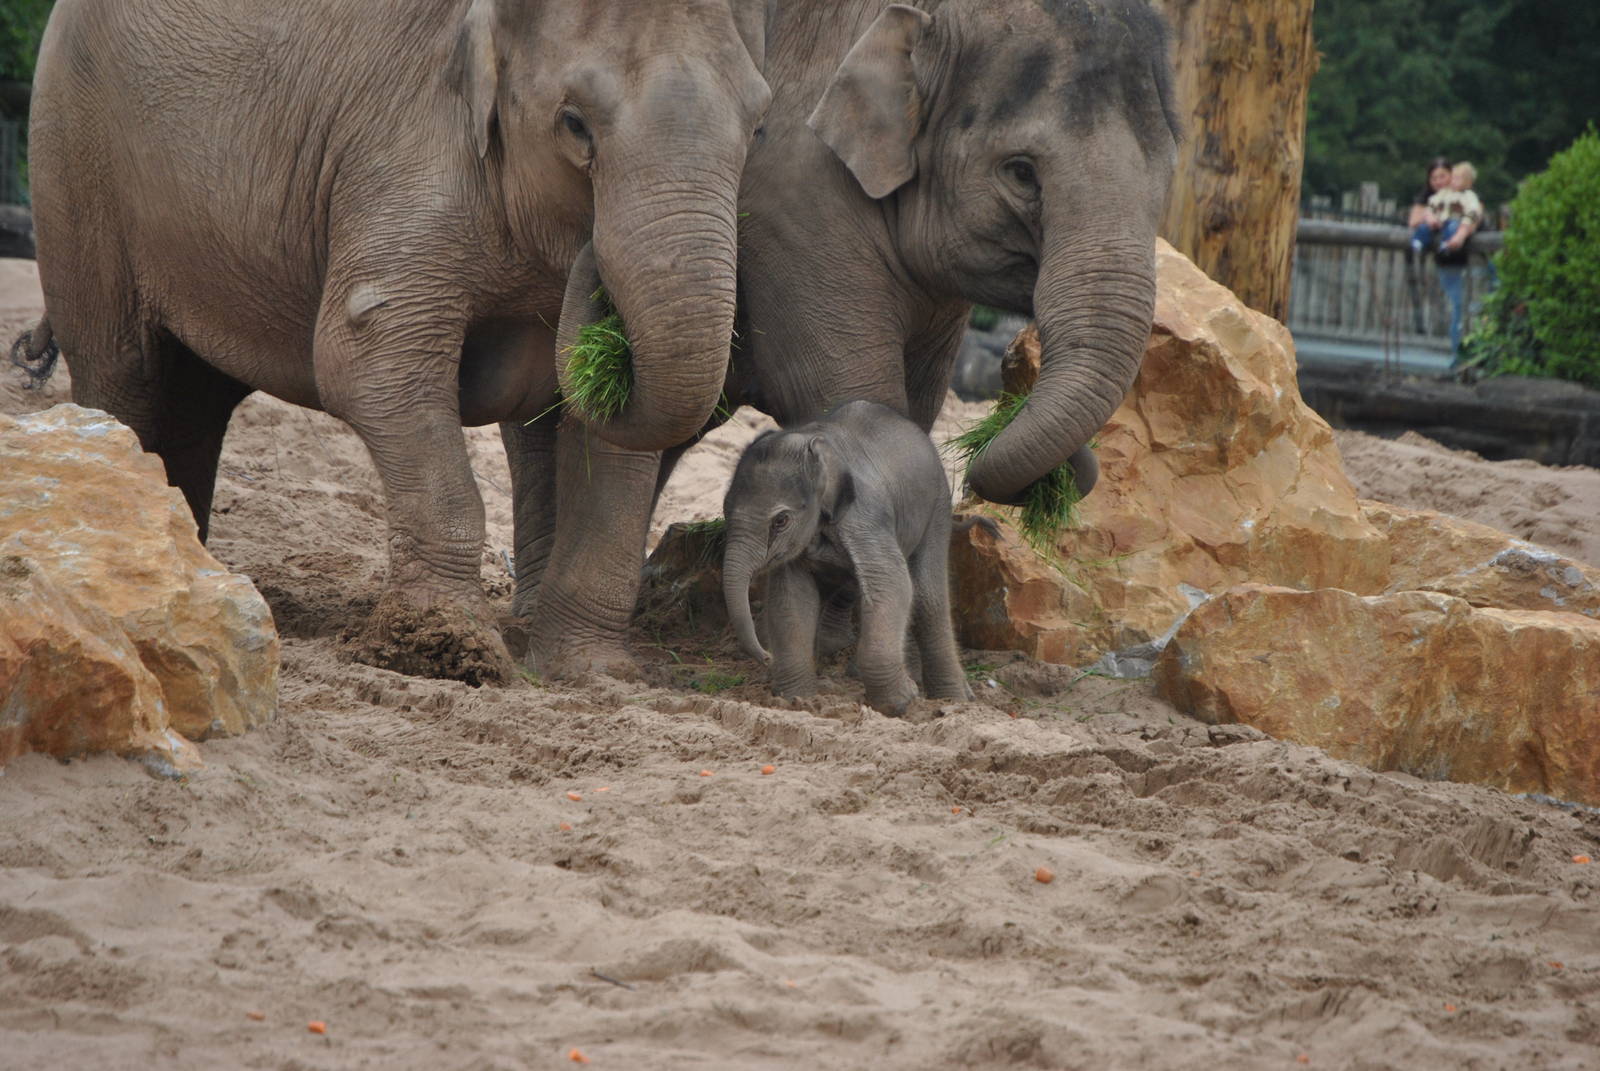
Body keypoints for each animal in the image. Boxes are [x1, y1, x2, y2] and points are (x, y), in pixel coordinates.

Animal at [19, 0, 770, 683]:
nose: (591, 261)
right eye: (574, 124)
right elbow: (364, 358)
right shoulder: (406, 150)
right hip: (73, 156)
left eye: (759, 124)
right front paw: (447, 653)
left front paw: (595, 674)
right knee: (126, 373)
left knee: (197, 398)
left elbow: (616, 432)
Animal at [510, 0, 1179, 681]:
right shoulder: (799, 209)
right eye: (1021, 171)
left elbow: (917, 406)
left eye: (1167, 181)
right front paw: (840, 641)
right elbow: (859, 391)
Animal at [721, 400, 971, 714]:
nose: (766, 657)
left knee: (928, 598)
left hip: (937, 507)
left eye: (781, 521)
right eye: (724, 509)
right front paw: (797, 699)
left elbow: (891, 583)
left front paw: (902, 701)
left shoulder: (864, 516)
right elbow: (791, 598)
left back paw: (953, 699)